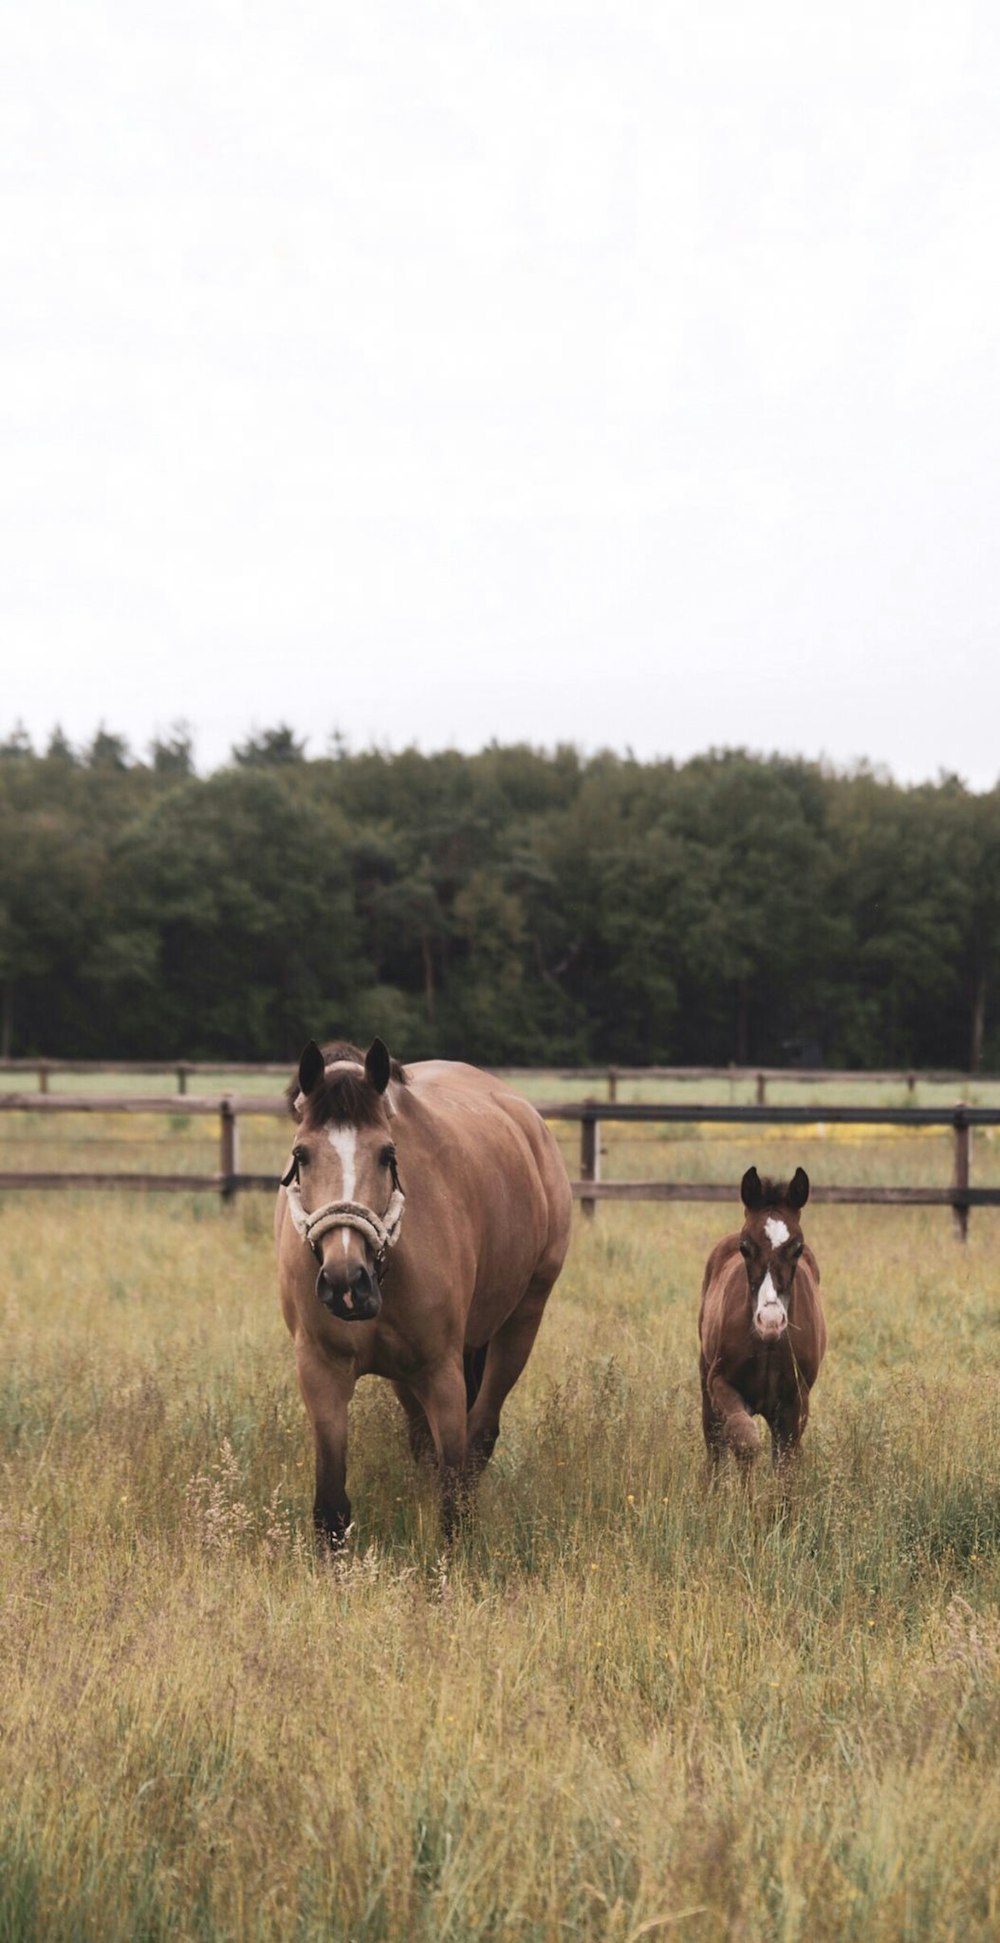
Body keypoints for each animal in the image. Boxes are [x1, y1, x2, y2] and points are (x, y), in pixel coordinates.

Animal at [275, 1033, 570, 1546]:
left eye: (387, 1154)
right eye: (302, 1155)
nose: (345, 1282)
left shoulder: (441, 1372)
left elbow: (452, 1496)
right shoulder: (321, 1370)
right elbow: (331, 1507)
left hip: (521, 1323)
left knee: (480, 1436)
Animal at [695, 1165, 831, 1468]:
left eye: (798, 1248)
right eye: (745, 1247)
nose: (770, 1320)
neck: (767, 1343)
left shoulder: (795, 1402)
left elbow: (786, 1461)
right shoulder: (720, 1382)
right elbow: (744, 1439)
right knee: (715, 1445)